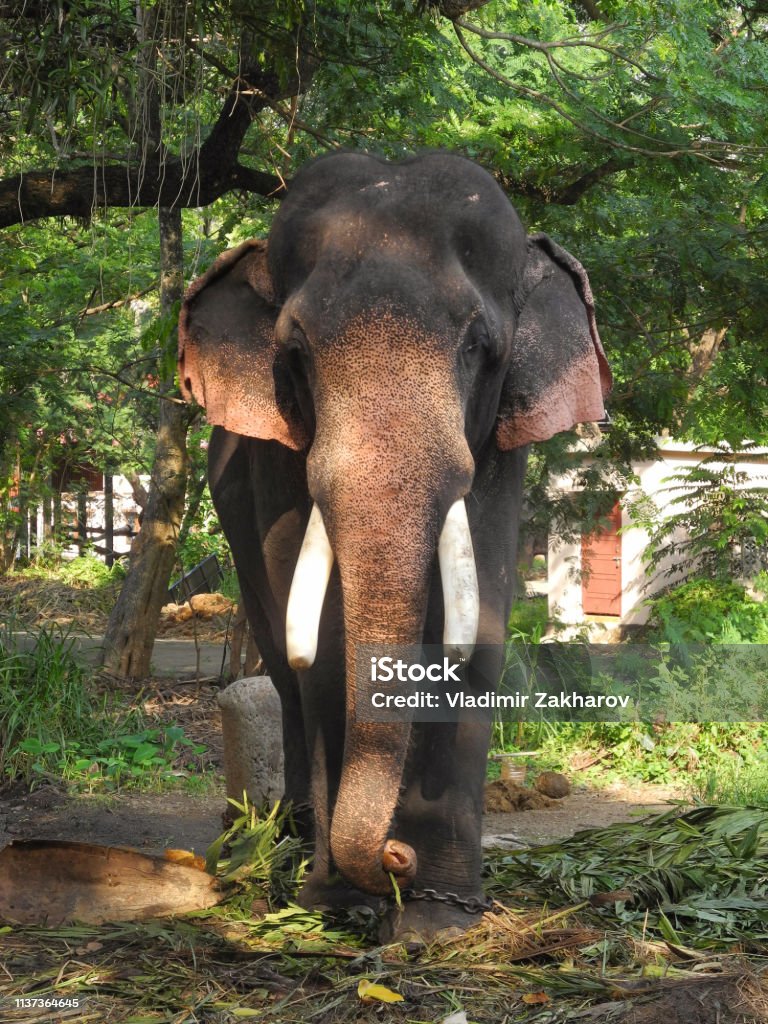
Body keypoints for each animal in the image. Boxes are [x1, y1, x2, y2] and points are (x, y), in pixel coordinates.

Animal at [178, 151, 610, 941]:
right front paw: (338, 907)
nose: (393, 858)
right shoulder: (278, 457)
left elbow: (482, 633)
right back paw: (294, 838)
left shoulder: (498, 445)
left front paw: (441, 918)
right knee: (280, 667)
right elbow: (321, 649)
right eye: (294, 351)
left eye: (479, 347)